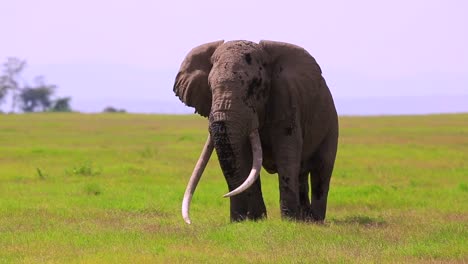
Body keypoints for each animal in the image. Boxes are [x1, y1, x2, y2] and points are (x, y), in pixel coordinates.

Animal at [174, 39, 338, 225]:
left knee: (321, 170)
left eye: (254, 85)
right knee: (302, 174)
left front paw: (289, 221)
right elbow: (243, 159)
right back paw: (305, 219)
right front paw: (252, 220)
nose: (235, 218)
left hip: (331, 122)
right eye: (210, 87)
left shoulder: (286, 99)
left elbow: (286, 153)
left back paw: (315, 220)